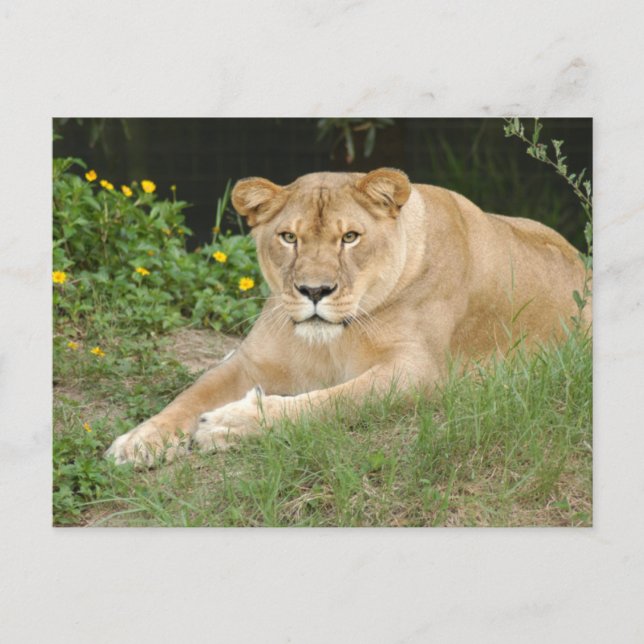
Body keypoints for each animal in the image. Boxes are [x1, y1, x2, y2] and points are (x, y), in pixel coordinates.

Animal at [106, 168, 590, 466]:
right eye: (288, 237)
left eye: (350, 237)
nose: (314, 291)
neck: (332, 339)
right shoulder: (252, 361)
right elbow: (190, 396)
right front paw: (139, 440)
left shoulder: (418, 373)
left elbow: (329, 402)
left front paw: (230, 423)